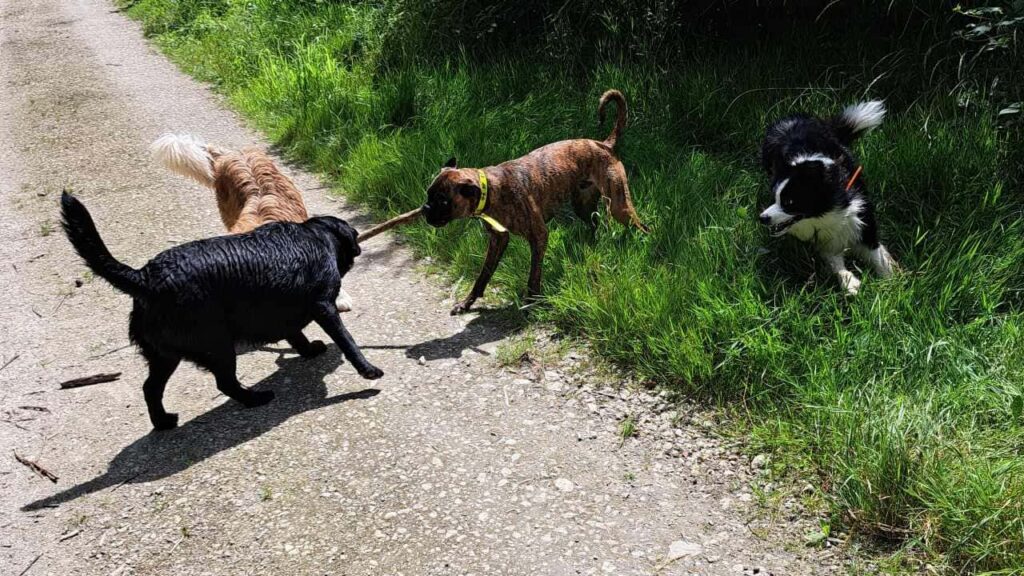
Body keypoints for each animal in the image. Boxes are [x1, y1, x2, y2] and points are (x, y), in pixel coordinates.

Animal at [62, 190, 385, 428]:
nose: (358, 247)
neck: (316, 237)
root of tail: (144, 278)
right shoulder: (323, 307)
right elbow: (347, 341)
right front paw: (368, 370)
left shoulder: (284, 311)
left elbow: (296, 335)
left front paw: (308, 351)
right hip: (216, 345)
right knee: (224, 382)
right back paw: (255, 399)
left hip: (165, 354)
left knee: (151, 388)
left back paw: (163, 422)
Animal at [423, 89, 647, 313]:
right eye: (428, 194)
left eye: (442, 201)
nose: (425, 208)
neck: (493, 189)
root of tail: (604, 145)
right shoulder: (497, 240)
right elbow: (483, 276)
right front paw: (467, 302)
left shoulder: (539, 236)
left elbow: (533, 275)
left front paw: (531, 301)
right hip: (583, 206)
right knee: (595, 225)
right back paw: (592, 245)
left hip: (619, 206)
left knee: (642, 227)